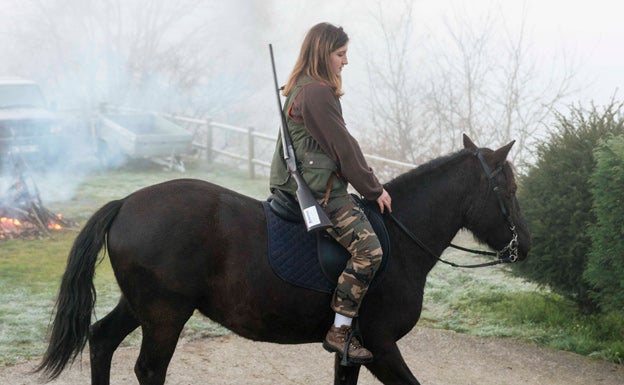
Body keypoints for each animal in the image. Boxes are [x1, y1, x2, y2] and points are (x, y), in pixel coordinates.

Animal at [36, 134, 528, 382]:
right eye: (507, 188)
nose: (524, 245)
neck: (400, 241)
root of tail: (127, 203)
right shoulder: (383, 347)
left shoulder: (353, 353)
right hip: (165, 315)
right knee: (148, 369)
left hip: (142, 307)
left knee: (101, 340)